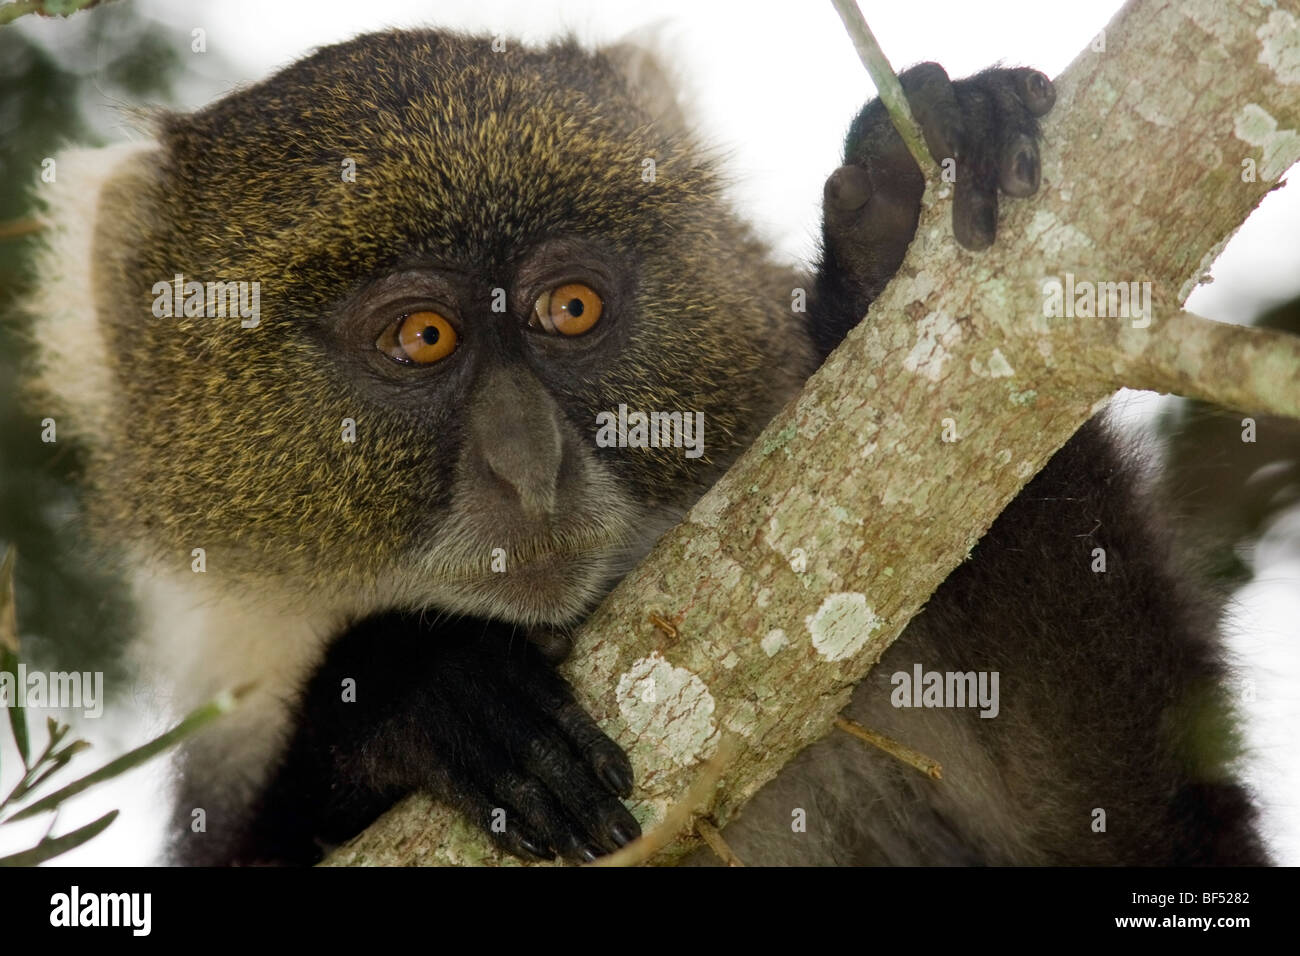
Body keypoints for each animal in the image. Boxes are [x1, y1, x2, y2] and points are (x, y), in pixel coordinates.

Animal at [23, 28, 1265, 865]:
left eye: (568, 308)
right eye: (421, 336)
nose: (528, 463)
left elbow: (1145, 830)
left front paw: (899, 213)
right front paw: (417, 687)